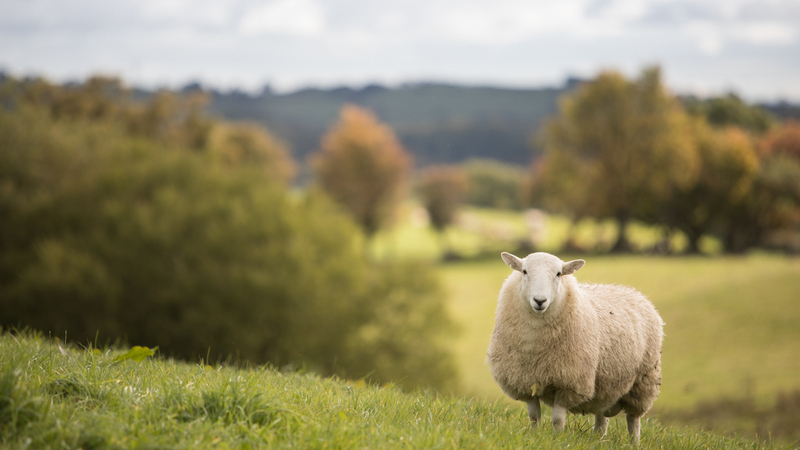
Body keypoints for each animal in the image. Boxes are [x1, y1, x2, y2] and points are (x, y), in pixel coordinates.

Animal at [488, 251, 664, 444]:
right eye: (524, 271)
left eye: (559, 274)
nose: (540, 301)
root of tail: (633, 292)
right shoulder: (526, 381)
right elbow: (534, 416)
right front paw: (534, 435)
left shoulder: (569, 383)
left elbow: (557, 419)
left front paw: (556, 438)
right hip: (605, 384)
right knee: (601, 417)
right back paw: (598, 439)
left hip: (643, 381)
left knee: (633, 420)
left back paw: (633, 443)